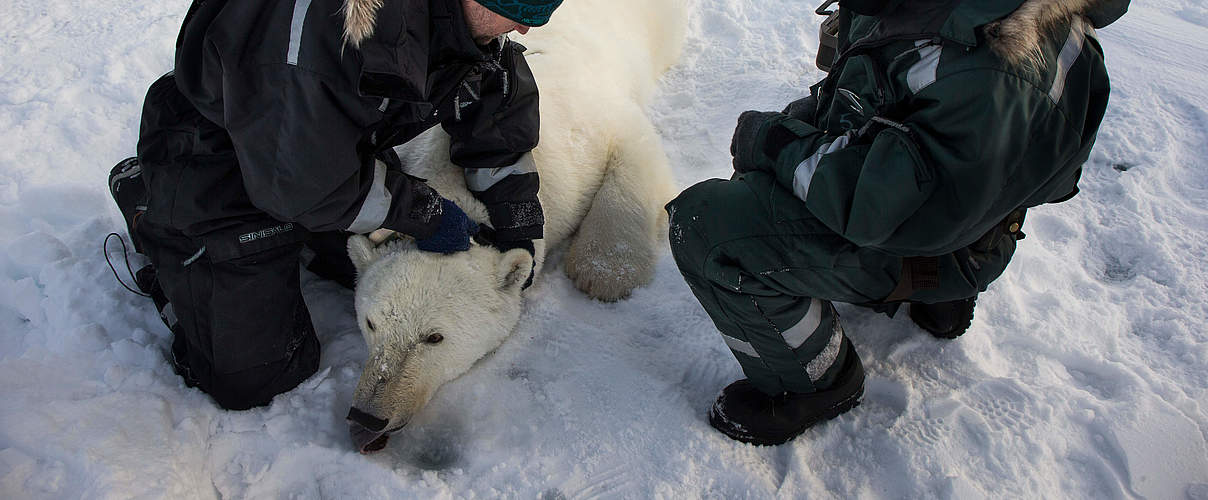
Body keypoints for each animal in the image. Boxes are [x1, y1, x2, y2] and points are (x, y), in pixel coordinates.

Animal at [340, 0, 690, 454]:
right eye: (371, 323)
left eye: (433, 337)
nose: (368, 415)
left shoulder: (595, 120)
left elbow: (635, 155)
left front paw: (606, 273)